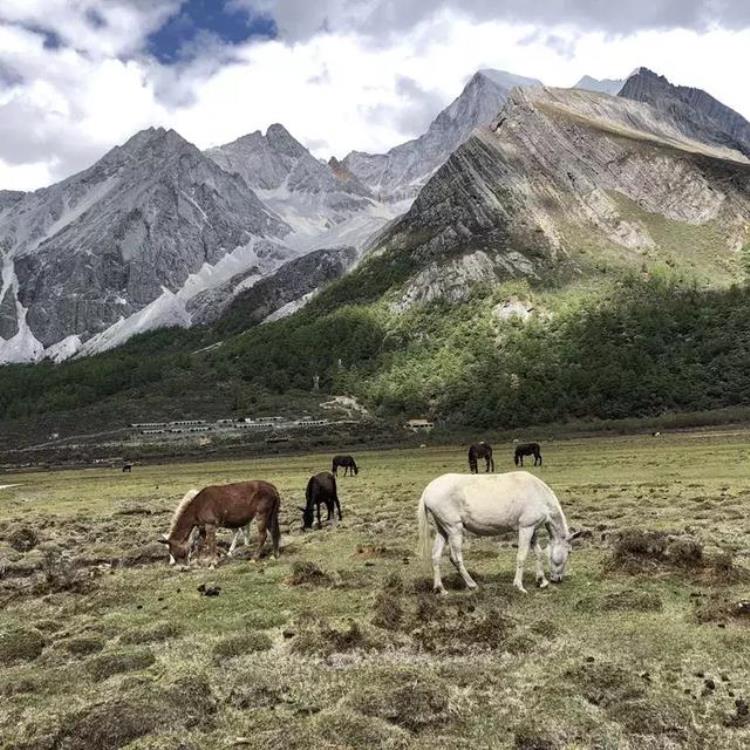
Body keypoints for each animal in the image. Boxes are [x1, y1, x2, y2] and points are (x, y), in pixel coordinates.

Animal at [418, 472, 580, 596]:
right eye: (570, 552)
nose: (557, 579)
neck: (539, 494)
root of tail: (428, 490)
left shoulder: (532, 529)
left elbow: (538, 553)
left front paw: (542, 581)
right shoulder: (525, 528)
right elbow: (522, 556)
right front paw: (519, 586)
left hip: (442, 530)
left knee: (436, 556)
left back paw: (440, 589)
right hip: (454, 529)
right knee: (455, 558)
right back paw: (472, 585)